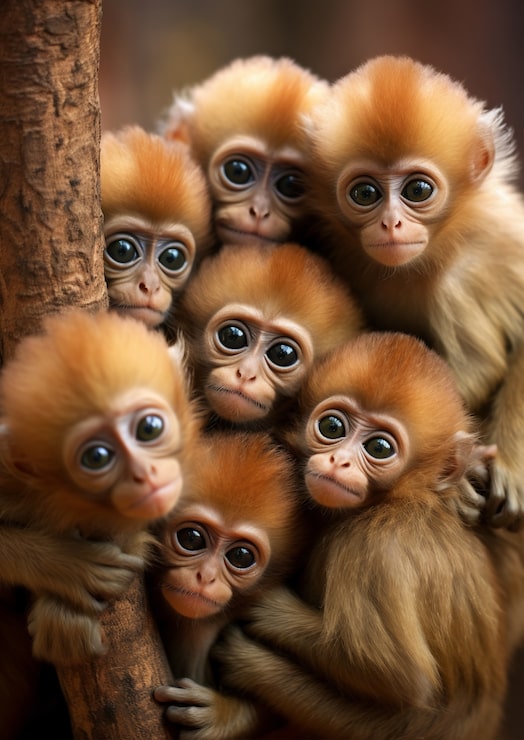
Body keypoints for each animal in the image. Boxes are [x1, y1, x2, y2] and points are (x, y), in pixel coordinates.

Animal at [207, 332, 524, 739]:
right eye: (332, 427)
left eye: (379, 448)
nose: (338, 462)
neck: (404, 498)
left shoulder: (372, 548)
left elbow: (392, 673)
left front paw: (268, 608)